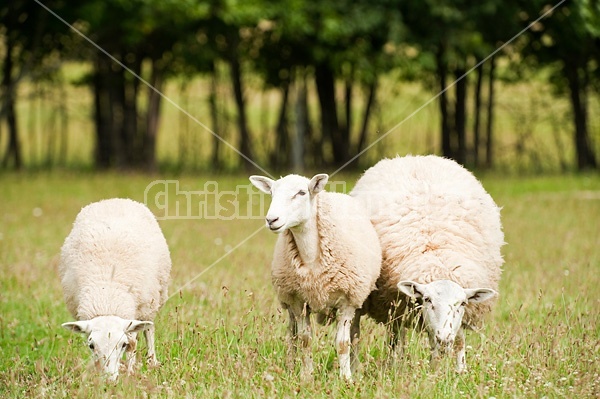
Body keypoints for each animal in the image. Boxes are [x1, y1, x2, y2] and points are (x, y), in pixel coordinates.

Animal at [59, 198, 171, 380]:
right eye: (91, 346)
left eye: (122, 345)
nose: (109, 380)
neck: (107, 296)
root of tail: (115, 200)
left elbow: (133, 343)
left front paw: (130, 373)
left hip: (153, 300)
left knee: (149, 330)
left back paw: (152, 362)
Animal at [248, 174, 380, 382]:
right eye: (272, 193)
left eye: (302, 192)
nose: (271, 219)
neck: (311, 256)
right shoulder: (298, 302)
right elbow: (305, 340)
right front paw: (306, 376)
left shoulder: (347, 301)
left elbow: (343, 343)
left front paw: (346, 378)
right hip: (289, 303)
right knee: (292, 334)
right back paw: (290, 365)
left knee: (354, 334)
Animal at [350, 155, 504, 374]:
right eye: (428, 300)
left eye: (462, 303)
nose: (444, 338)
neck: (436, 254)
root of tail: (413, 158)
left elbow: (458, 341)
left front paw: (454, 371)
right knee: (363, 334)